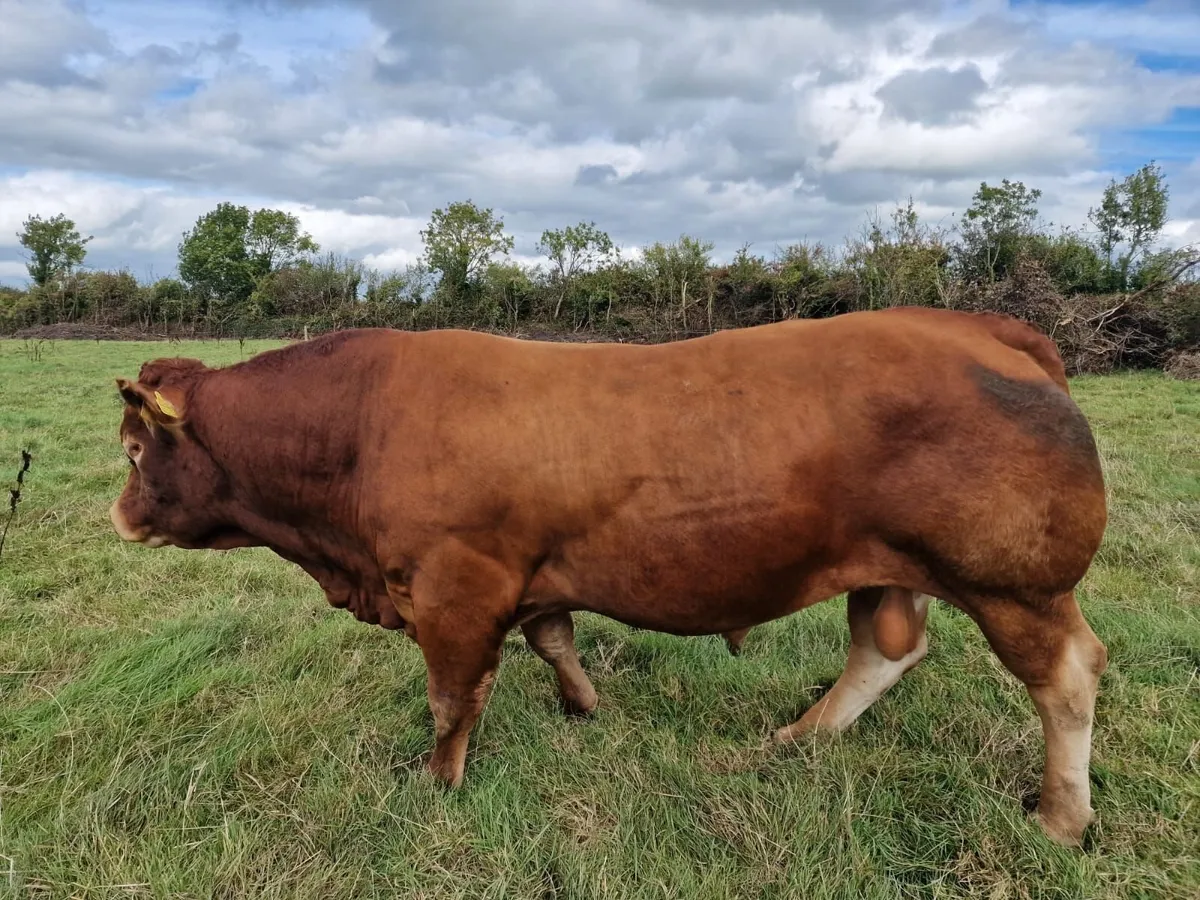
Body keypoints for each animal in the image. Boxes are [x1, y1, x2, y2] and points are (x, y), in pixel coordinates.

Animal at [109, 307, 1108, 847]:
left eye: (131, 451)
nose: (118, 516)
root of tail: (976, 323)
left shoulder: (455, 587)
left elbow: (452, 697)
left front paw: (438, 782)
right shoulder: (535, 576)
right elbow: (553, 636)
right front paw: (583, 705)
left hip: (1016, 585)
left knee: (1067, 678)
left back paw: (1060, 817)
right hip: (887, 566)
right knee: (885, 651)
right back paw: (797, 737)